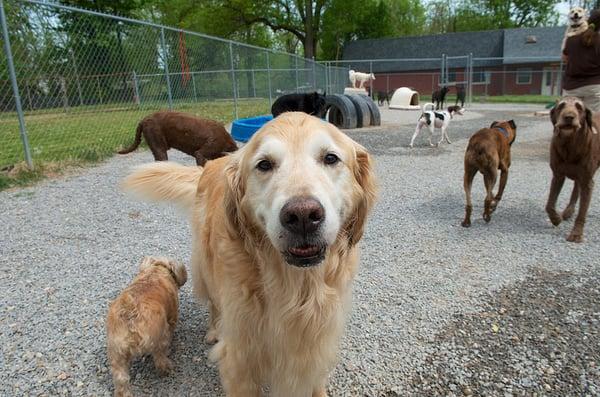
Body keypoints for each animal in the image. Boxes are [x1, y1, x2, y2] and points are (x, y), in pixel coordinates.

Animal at [121, 112, 376, 396]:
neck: (296, 287)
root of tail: (211, 163)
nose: (302, 216)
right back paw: (214, 330)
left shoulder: (316, 348)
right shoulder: (241, 358)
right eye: (264, 164)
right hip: (206, 268)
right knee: (214, 303)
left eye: (330, 158)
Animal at [548, 97, 596, 243]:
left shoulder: (588, 181)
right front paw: (555, 219)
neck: (570, 145)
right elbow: (550, 204)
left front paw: (576, 234)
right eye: (561, 106)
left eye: (579, 107)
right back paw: (569, 210)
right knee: (576, 189)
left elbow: (582, 213)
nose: (569, 117)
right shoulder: (557, 175)